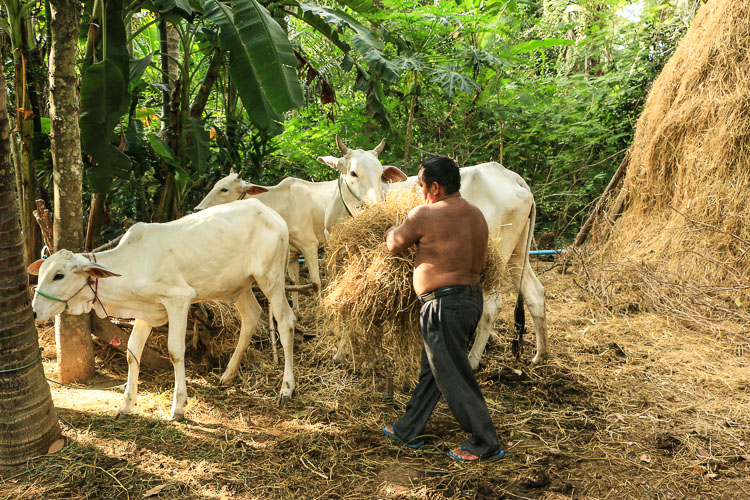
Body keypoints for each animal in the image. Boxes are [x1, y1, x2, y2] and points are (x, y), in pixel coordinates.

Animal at [29, 197, 300, 420]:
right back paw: (227, 375)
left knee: (286, 322)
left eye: (59, 275)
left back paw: (286, 389)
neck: (130, 264)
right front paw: (126, 405)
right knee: (251, 317)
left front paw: (178, 406)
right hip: (239, 286)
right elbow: (132, 352)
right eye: (41, 273)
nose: (34, 312)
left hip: (271, 278)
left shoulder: (178, 300)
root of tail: (269, 212)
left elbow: (175, 351)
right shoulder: (146, 312)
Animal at [318, 137, 552, 368]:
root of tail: (511, 176)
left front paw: (351, 354)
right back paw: (540, 355)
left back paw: (472, 360)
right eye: (353, 173)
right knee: (535, 294)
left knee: (492, 307)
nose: (377, 208)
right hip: (518, 254)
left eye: (379, 175)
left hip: (497, 258)